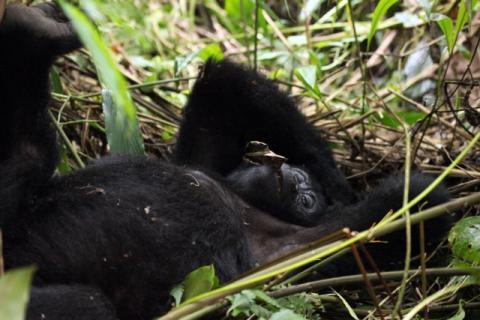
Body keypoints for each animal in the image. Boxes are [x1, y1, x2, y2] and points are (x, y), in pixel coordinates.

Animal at [0, 2, 452, 320]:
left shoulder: (295, 253)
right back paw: (34, 33)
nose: (303, 187)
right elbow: (227, 88)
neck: (249, 209)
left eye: (306, 201)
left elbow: (410, 208)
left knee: (86, 303)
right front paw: (332, 178)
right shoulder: (205, 164)